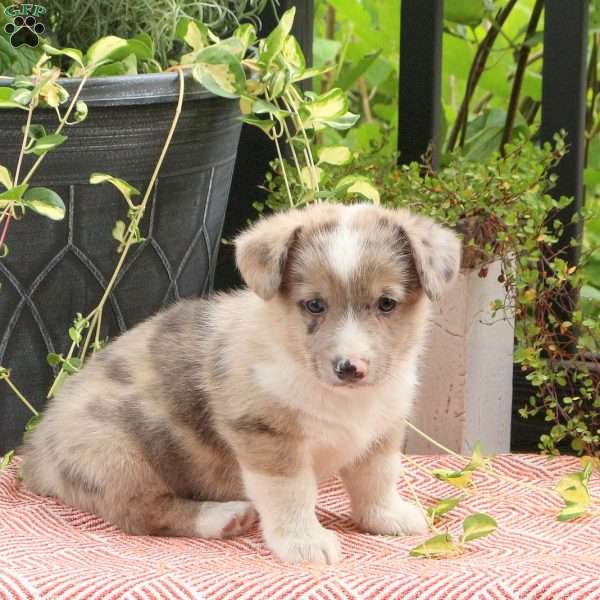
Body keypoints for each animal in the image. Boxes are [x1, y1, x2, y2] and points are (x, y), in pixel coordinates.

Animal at [18, 204, 460, 564]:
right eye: (314, 305)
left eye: (386, 303)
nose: (350, 368)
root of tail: (36, 453)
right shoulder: (266, 435)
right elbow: (291, 494)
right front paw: (304, 543)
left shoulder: (381, 431)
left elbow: (377, 481)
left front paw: (388, 518)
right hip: (119, 457)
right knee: (144, 513)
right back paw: (222, 517)